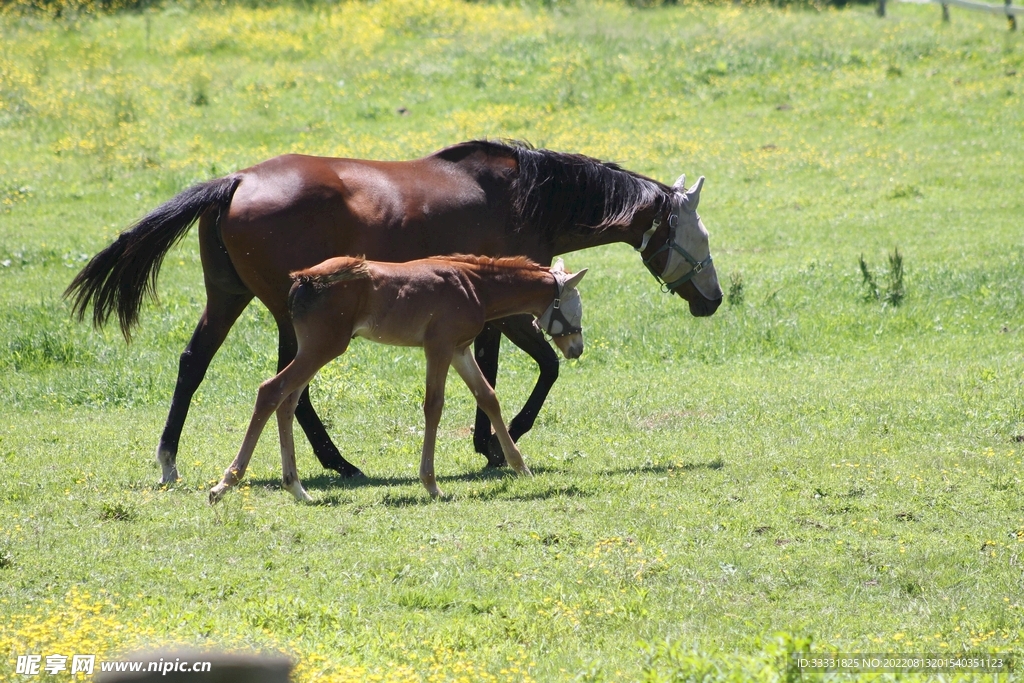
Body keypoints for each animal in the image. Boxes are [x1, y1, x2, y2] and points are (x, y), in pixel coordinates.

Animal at [207, 255, 588, 503]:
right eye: (575, 308)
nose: (577, 348)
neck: (474, 286)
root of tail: (304, 278)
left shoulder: (460, 349)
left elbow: (488, 397)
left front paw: (520, 467)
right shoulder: (439, 346)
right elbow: (434, 406)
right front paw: (431, 484)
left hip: (313, 348)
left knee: (288, 401)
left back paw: (297, 488)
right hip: (323, 347)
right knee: (271, 391)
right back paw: (226, 483)